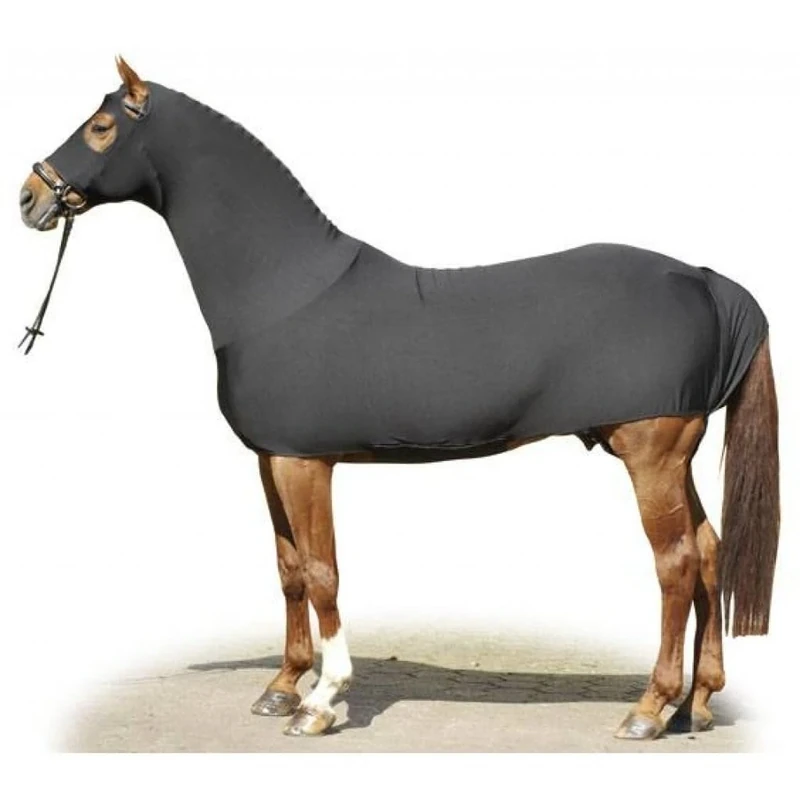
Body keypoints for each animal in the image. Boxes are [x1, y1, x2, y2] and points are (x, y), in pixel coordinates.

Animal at [19, 57, 779, 741]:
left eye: (101, 127)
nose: (30, 198)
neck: (281, 288)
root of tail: (707, 279)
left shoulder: (305, 464)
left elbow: (323, 573)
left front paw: (322, 702)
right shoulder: (271, 459)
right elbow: (289, 570)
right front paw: (281, 687)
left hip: (651, 456)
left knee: (676, 565)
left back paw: (649, 710)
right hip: (674, 459)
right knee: (709, 553)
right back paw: (695, 704)